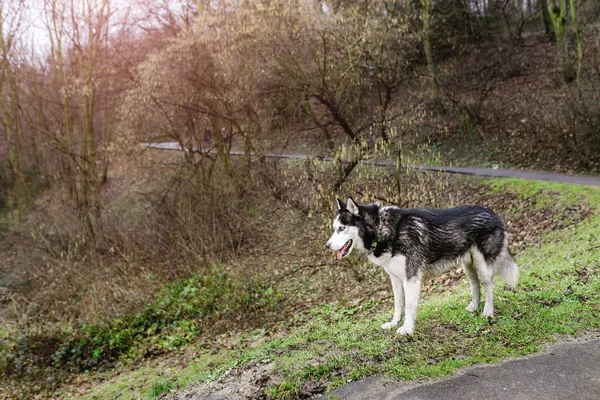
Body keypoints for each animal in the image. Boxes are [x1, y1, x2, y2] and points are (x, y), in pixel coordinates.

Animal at [326, 198, 516, 334]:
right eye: (335, 228)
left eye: (341, 228)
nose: (327, 246)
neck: (384, 229)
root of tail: (494, 213)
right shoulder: (395, 279)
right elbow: (398, 304)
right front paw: (394, 323)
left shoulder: (411, 278)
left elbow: (409, 305)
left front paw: (407, 329)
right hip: (468, 267)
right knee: (475, 285)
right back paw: (473, 307)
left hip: (483, 266)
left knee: (488, 285)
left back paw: (487, 312)